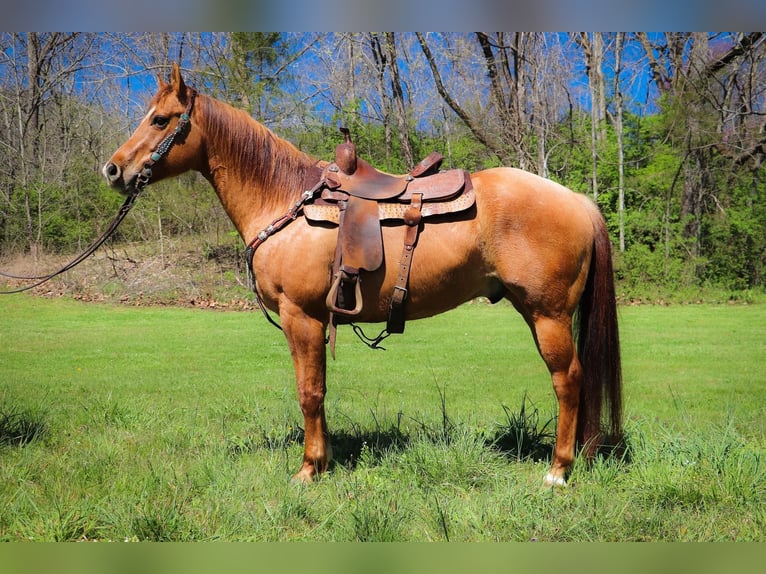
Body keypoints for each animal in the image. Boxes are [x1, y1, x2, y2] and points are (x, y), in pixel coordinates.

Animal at [105, 64, 620, 486]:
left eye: (160, 119)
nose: (112, 170)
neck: (284, 200)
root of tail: (577, 200)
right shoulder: (313, 321)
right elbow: (319, 390)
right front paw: (325, 460)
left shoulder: (300, 316)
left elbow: (309, 392)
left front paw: (309, 469)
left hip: (548, 315)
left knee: (568, 380)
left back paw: (558, 470)